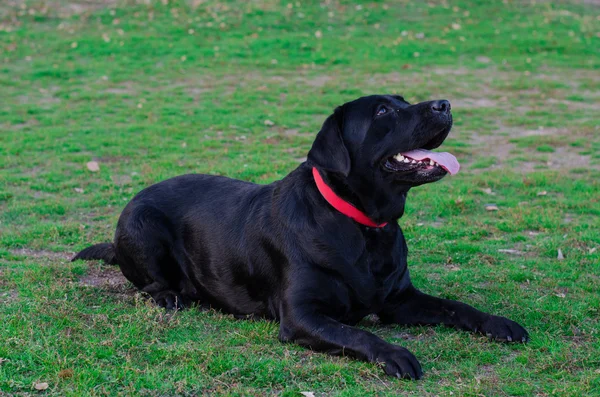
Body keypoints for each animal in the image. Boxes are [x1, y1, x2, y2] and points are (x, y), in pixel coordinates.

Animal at [72, 94, 528, 378]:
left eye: (403, 101)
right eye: (383, 111)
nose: (445, 104)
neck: (364, 226)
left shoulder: (400, 300)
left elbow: (456, 306)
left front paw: (498, 323)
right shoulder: (301, 315)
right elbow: (358, 332)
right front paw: (395, 355)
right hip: (142, 226)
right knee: (150, 285)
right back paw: (171, 295)